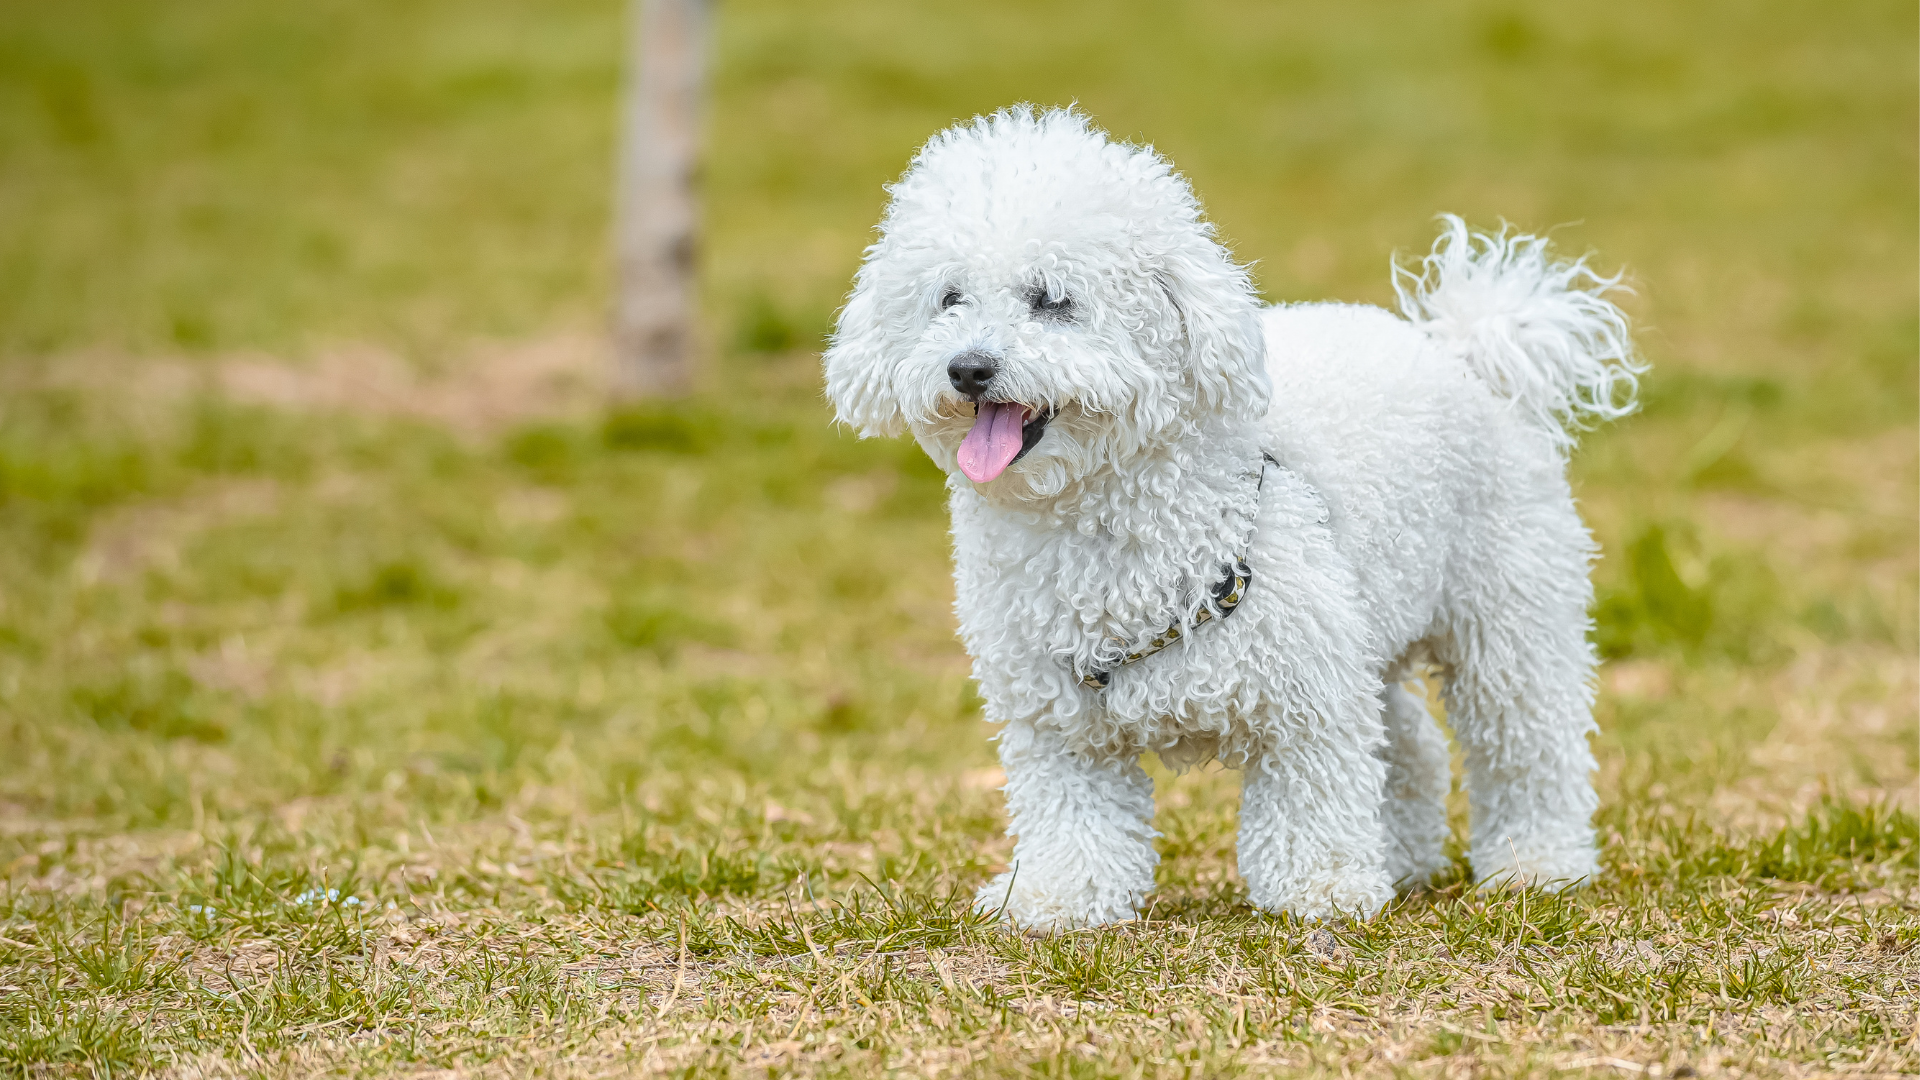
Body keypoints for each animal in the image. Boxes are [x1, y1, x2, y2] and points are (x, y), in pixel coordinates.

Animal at [817, 109, 1643, 930]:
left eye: (1052, 298)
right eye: (948, 298)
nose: (968, 367)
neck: (1101, 522)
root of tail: (1466, 354)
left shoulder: (1306, 697)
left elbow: (1313, 795)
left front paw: (1322, 891)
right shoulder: (1058, 722)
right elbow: (1073, 816)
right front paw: (1057, 898)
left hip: (1506, 612)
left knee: (1526, 741)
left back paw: (1539, 864)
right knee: (1410, 745)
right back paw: (1403, 859)